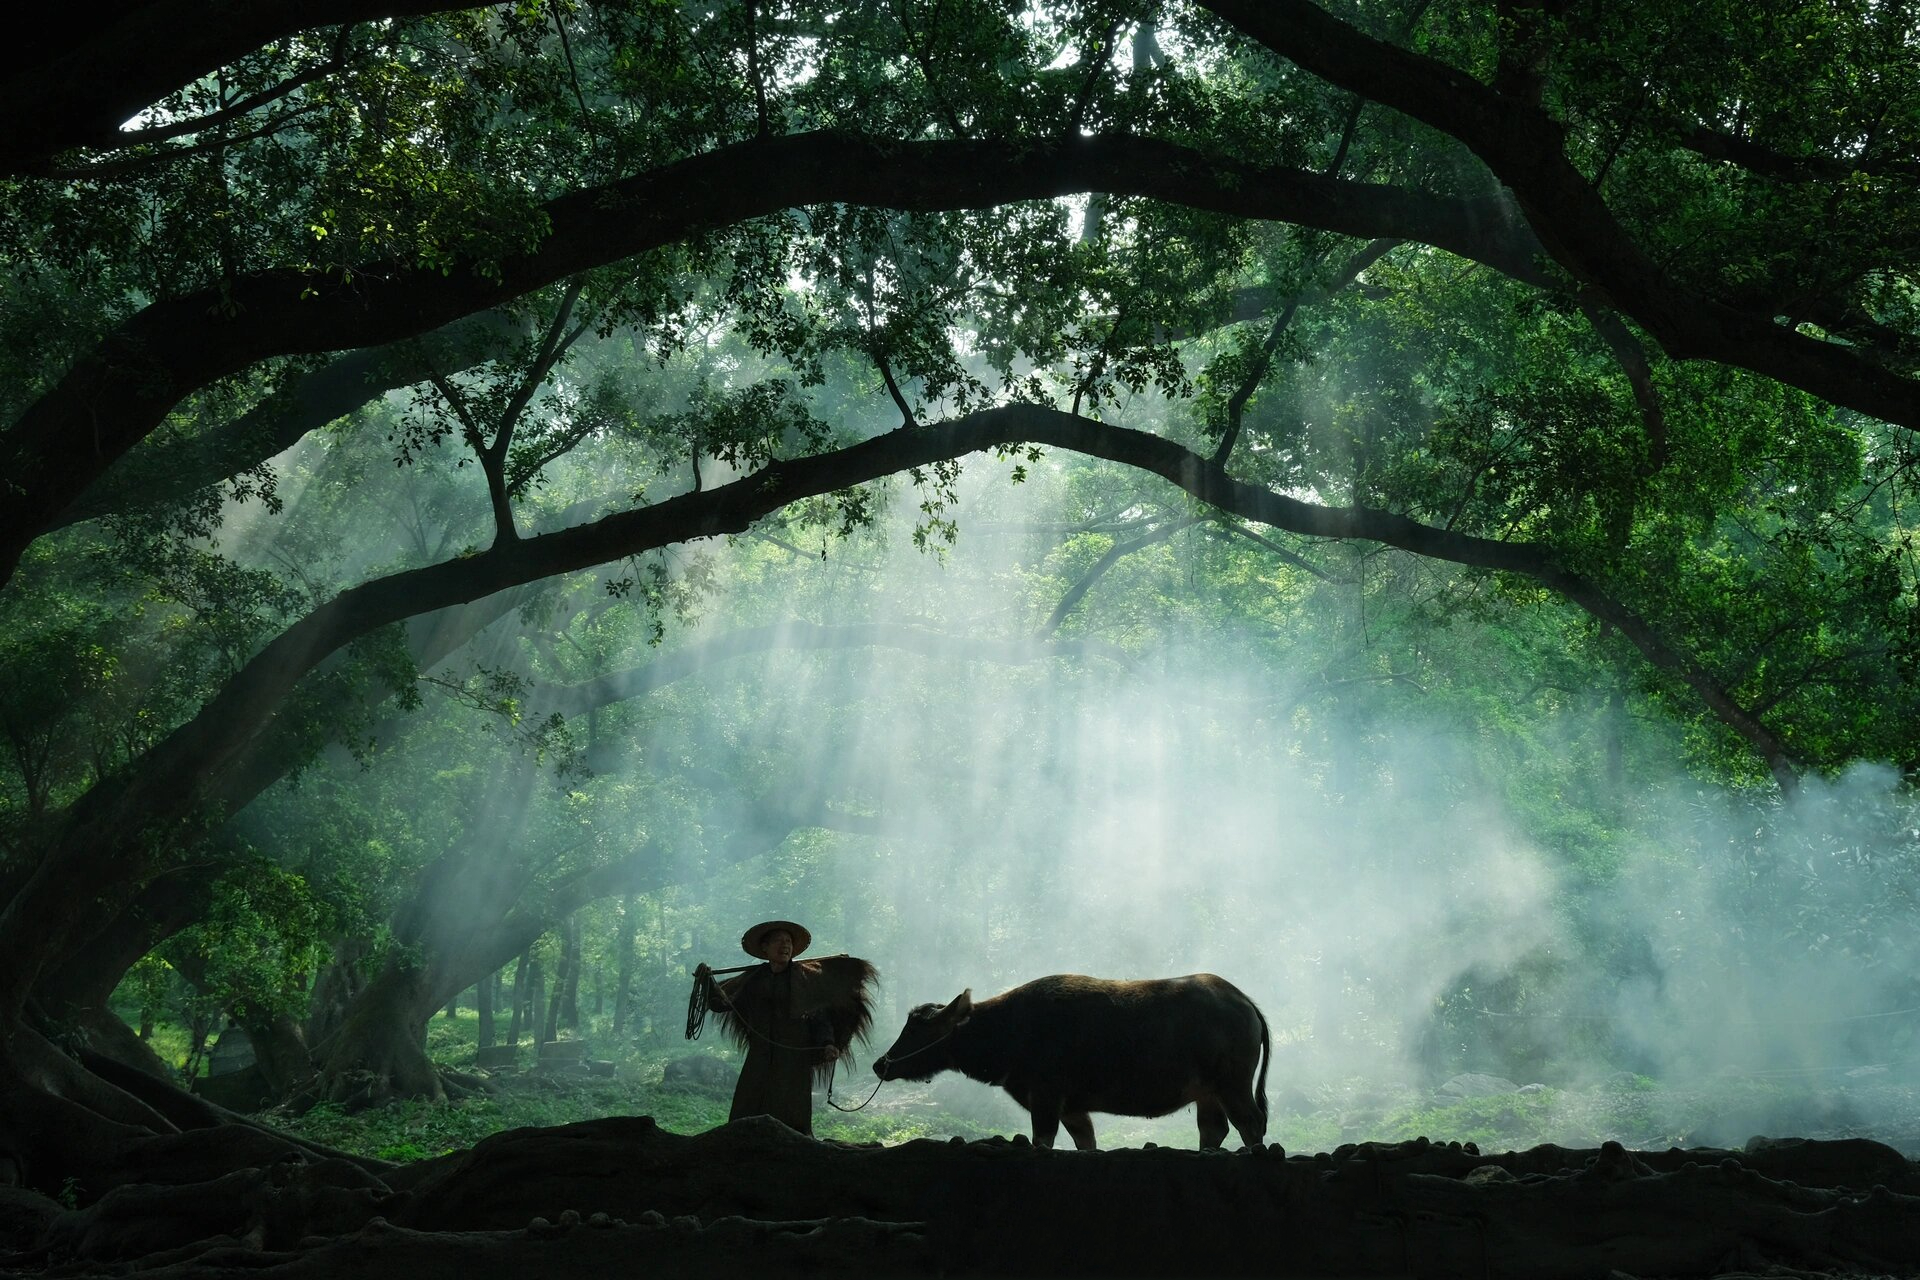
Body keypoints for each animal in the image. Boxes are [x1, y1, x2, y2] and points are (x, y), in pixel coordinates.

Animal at [875, 971, 1267, 1151]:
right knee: (1215, 1129)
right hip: (1208, 1094)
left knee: (1250, 1124)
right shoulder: (1073, 1109)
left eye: (918, 1028)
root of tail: (1245, 1001)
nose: (881, 1064)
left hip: (1233, 1085)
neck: (1013, 1027)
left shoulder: (1046, 1099)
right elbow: (1085, 1142)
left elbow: (1042, 1141)